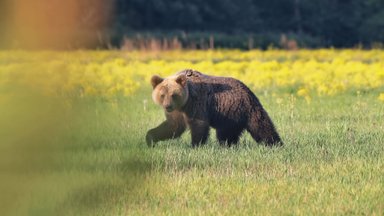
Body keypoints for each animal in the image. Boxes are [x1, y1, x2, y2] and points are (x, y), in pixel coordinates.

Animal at [146, 69, 284, 147]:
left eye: (174, 95)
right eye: (162, 95)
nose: (167, 106)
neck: (184, 104)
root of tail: (249, 91)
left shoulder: (197, 103)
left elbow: (199, 124)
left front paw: (195, 145)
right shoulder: (177, 112)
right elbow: (172, 127)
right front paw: (150, 139)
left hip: (238, 108)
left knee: (261, 127)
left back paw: (276, 144)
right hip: (231, 114)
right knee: (228, 133)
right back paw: (228, 145)